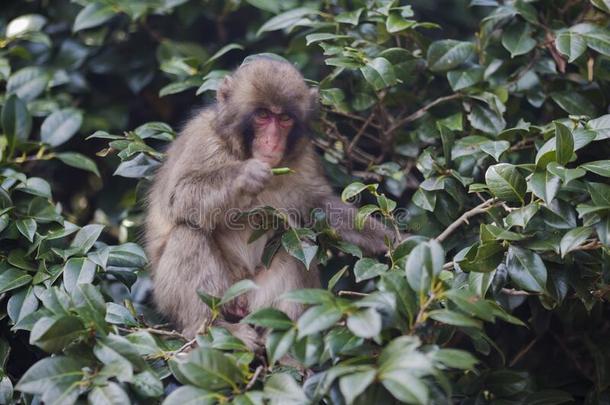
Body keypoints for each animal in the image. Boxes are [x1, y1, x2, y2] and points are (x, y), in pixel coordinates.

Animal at [145, 56, 388, 346]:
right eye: (262, 115)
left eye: (283, 118)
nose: (272, 141)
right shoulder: (202, 141)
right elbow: (179, 197)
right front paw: (245, 175)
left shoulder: (304, 159)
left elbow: (319, 205)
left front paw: (389, 240)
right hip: (196, 296)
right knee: (188, 231)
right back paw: (208, 327)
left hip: (257, 298)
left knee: (296, 243)